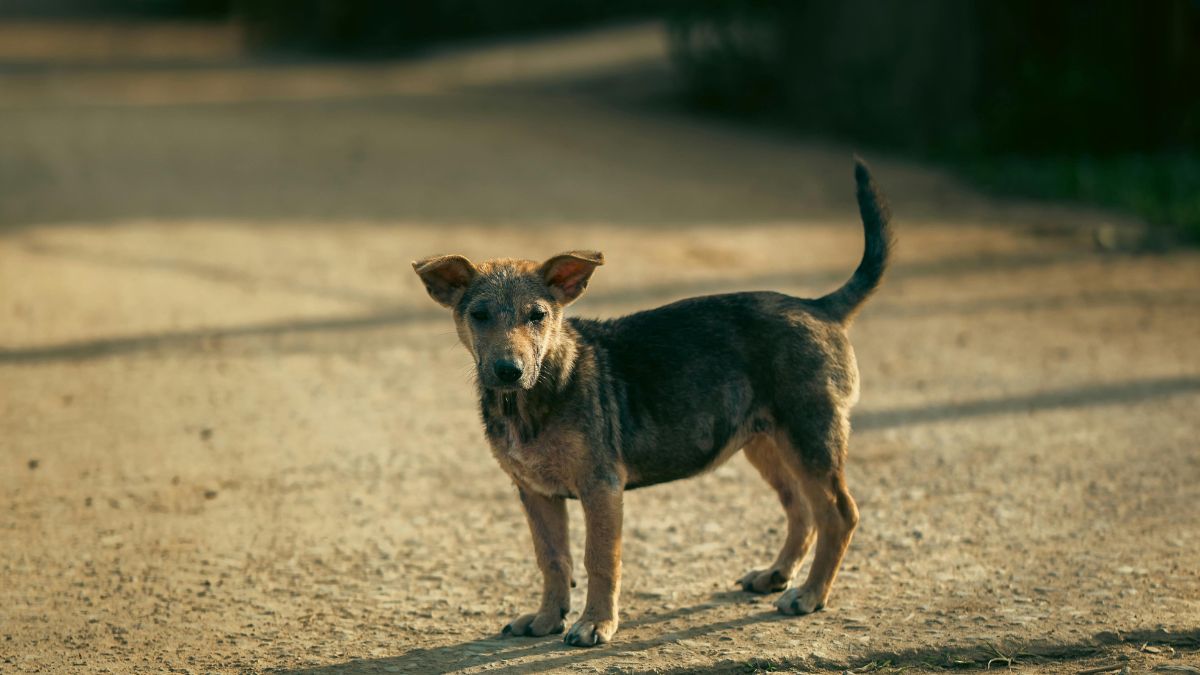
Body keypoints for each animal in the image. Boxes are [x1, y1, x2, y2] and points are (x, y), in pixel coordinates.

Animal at [412, 157, 892, 648]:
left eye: (538, 316)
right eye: (479, 315)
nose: (508, 370)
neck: (537, 393)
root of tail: (819, 307)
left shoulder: (601, 486)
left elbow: (599, 560)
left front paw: (595, 623)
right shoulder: (535, 492)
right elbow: (552, 559)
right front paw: (547, 618)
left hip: (809, 435)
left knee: (839, 514)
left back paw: (811, 594)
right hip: (768, 441)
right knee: (802, 509)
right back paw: (777, 575)